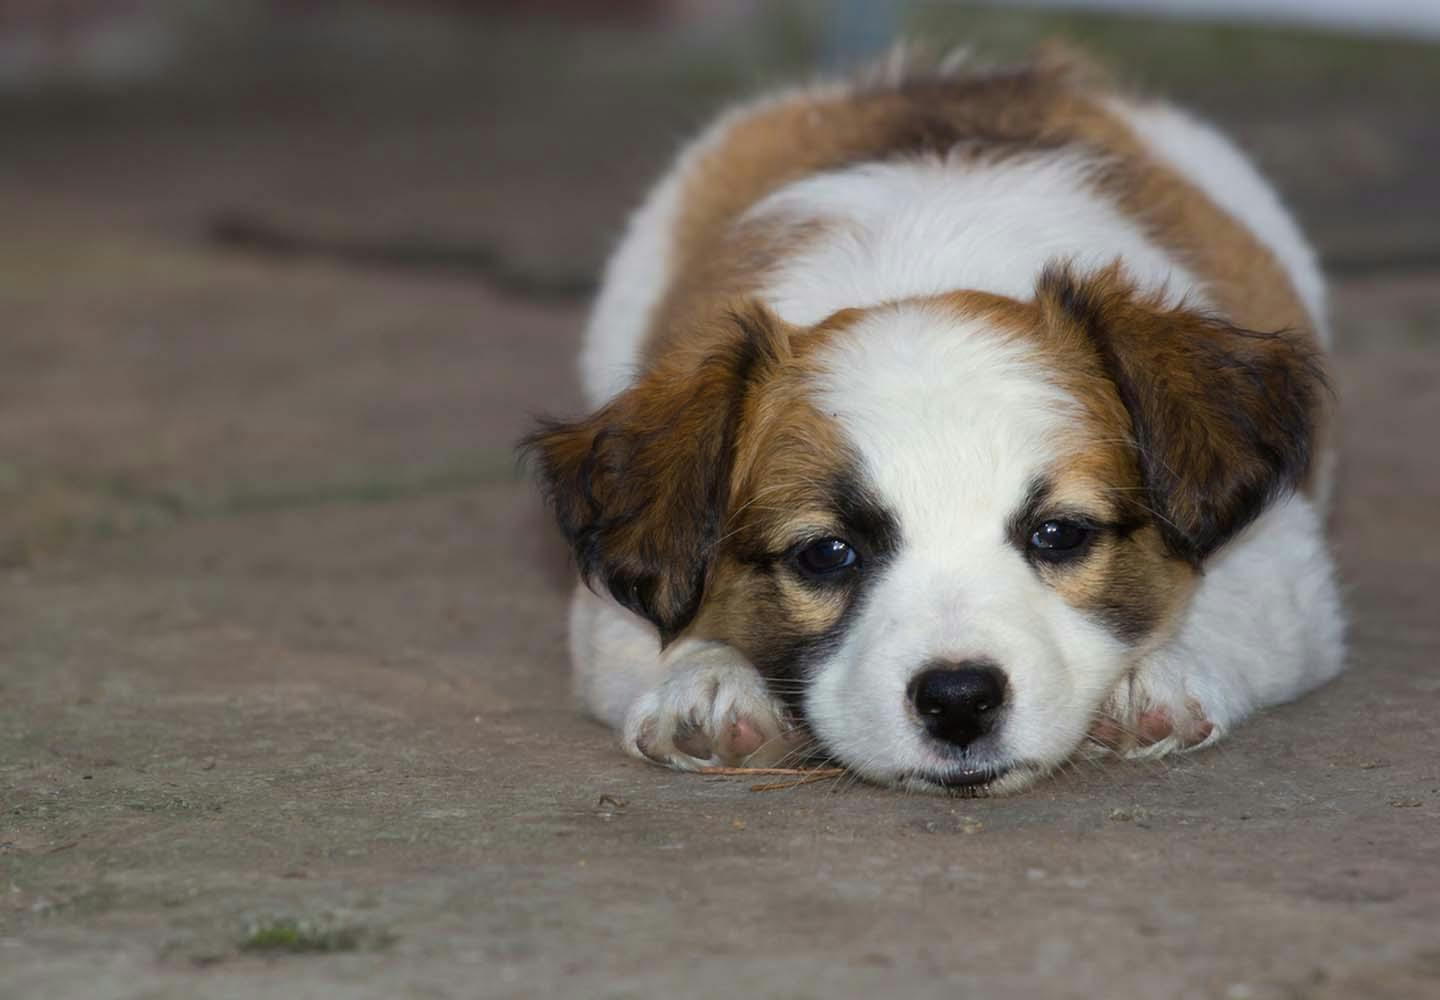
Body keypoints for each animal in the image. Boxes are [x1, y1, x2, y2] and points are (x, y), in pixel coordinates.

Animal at [524, 48, 1342, 801]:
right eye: (826, 554)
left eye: (1060, 534)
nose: (959, 703)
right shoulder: (605, 623)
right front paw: (709, 680)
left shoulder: (1285, 564)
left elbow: (1226, 603)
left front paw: (1158, 674)